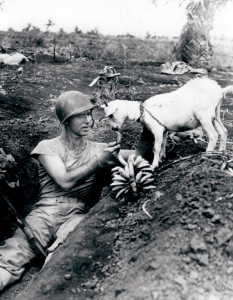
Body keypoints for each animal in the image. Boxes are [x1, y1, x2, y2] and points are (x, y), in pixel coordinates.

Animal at [102, 77, 233, 170]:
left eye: (111, 115)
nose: (114, 129)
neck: (142, 111)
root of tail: (220, 91)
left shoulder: (157, 129)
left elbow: (156, 148)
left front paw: (154, 165)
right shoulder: (164, 130)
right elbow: (163, 145)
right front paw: (162, 159)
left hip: (204, 115)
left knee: (213, 135)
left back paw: (206, 155)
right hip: (215, 115)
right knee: (223, 131)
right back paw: (220, 152)